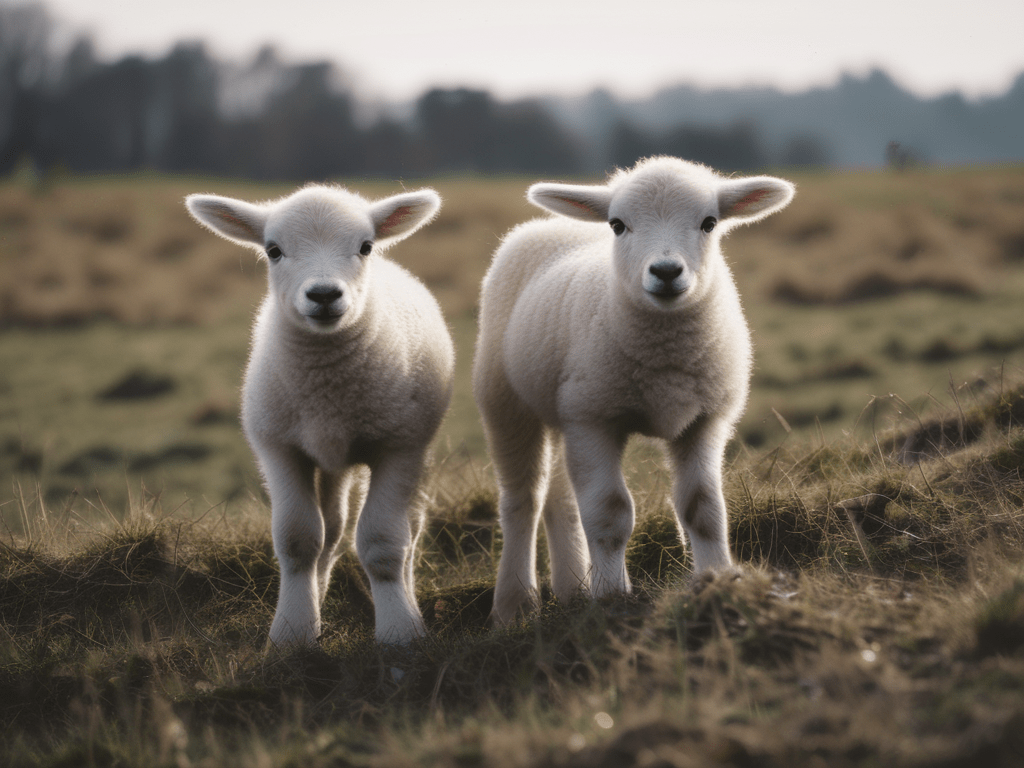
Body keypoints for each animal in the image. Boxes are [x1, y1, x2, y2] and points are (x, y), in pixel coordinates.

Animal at [185, 184, 454, 646]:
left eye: (365, 246)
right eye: (273, 250)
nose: (324, 295)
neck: (327, 388)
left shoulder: (399, 445)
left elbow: (383, 543)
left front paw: (399, 631)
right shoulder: (278, 448)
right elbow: (298, 541)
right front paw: (293, 632)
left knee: (410, 529)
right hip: (328, 461)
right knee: (330, 531)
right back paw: (319, 595)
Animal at [473, 156, 795, 624]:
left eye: (710, 222)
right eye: (618, 225)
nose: (666, 272)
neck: (665, 359)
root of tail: (550, 224)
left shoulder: (704, 421)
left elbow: (704, 509)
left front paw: (716, 580)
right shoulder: (594, 419)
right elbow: (609, 513)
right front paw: (611, 597)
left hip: (563, 408)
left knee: (561, 501)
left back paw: (572, 589)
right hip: (507, 401)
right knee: (522, 501)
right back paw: (515, 604)